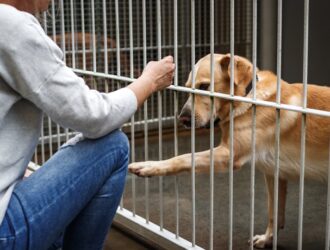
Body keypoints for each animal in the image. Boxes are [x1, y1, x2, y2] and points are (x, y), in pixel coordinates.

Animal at [129, 53, 330, 248]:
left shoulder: (229, 155)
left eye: (204, 86)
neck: (246, 97)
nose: (183, 120)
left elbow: (183, 158)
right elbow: (274, 213)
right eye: (188, 87)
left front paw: (148, 166)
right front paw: (267, 239)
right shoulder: (274, 174)